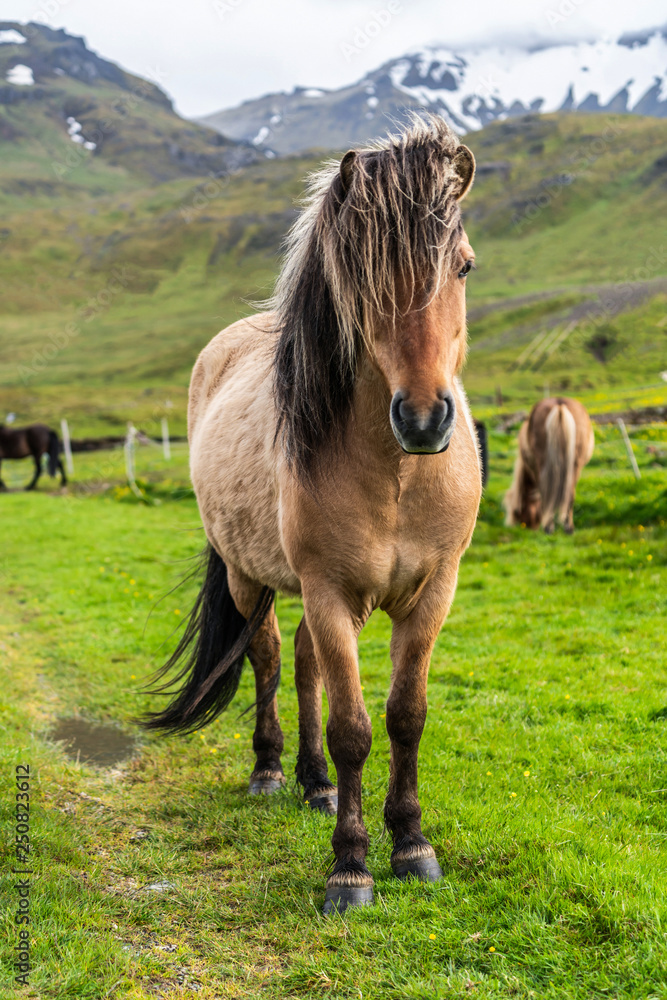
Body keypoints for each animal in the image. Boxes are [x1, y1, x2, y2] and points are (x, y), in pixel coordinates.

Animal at [144, 115, 482, 916]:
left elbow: (405, 715)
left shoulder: (432, 594)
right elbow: (352, 727)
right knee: (269, 657)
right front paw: (351, 868)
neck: (396, 474)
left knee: (302, 663)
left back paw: (315, 784)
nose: (424, 418)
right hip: (251, 577)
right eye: (363, 280)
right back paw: (271, 772)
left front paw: (411, 844)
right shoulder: (329, 593)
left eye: (463, 267)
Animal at [506, 396, 596, 536]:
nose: (525, 527)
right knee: (569, 495)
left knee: (547, 494)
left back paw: (548, 527)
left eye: (517, 512)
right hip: (575, 467)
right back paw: (567, 527)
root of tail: (559, 405)